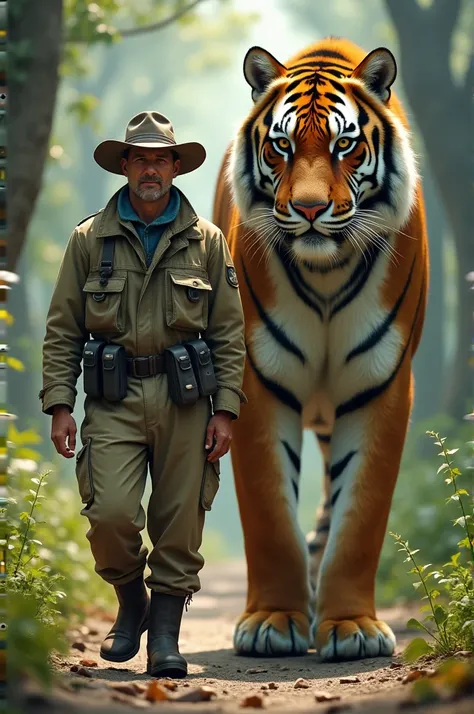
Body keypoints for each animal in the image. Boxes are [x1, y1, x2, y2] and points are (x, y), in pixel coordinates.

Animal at [213, 37, 428, 660]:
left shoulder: (382, 385)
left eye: (344, 145)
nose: (309, 209)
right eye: (282, 145)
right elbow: (269, 515)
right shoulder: (257, 382)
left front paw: (353, 627)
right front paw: (274, 621)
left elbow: (361, 517)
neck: (326, 272)